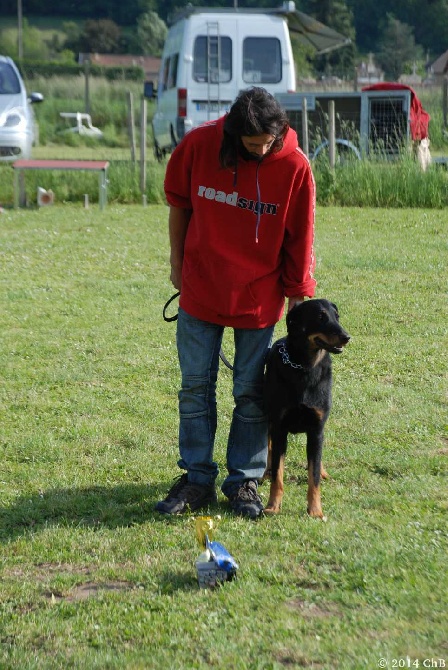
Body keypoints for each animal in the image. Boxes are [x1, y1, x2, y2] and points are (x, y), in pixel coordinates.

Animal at [262, 300, 350, 520]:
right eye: (320, 317)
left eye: (337, 316)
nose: (346, 337)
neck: (305, 367)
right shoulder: (279, 427)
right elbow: (278, 474)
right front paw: (272, 506)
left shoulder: (316, 428)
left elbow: (314, 476)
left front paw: (316, 510)